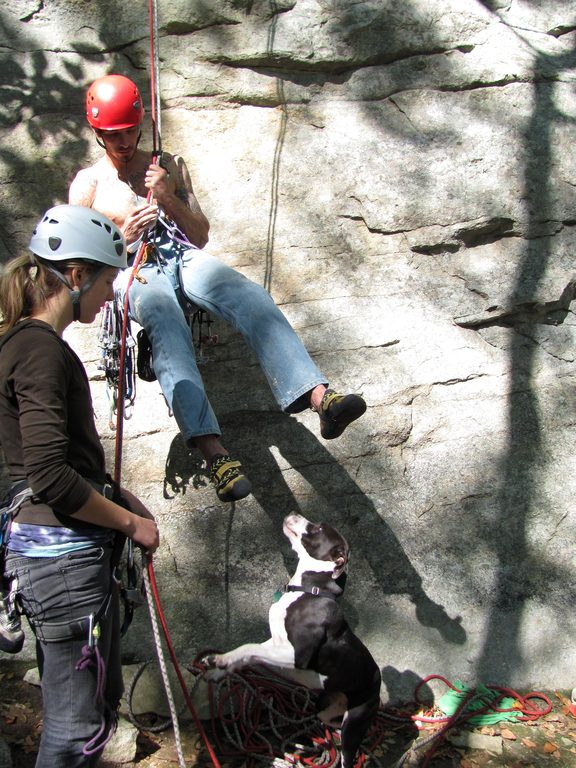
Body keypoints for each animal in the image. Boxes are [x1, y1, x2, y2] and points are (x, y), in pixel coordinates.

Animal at [208, 512, 382, 768]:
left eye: (318, 528)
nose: (293, 513)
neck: (309, 591)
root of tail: (377, 687)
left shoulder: (296, 655)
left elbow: (249, 647)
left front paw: (221, 663)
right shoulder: (276, 644)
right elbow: (248, 653)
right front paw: (220, 667)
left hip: (355, 723)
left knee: (348, 753)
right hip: (327, 709)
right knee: (334, 726)